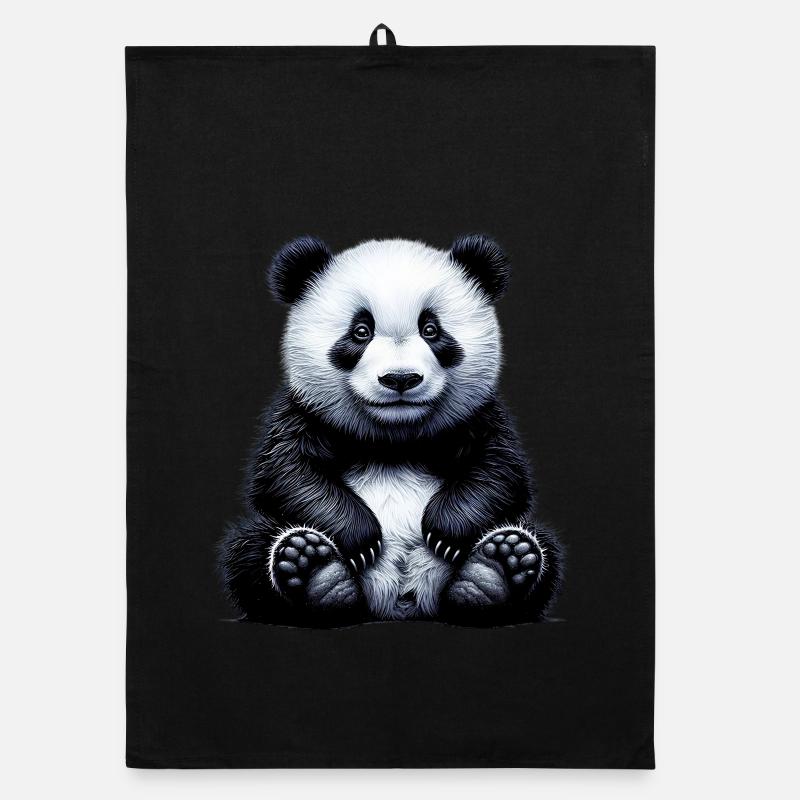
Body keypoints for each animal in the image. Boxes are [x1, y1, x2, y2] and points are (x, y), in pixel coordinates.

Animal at [219, 235, 563, 626]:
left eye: (431, 329)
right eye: (360, 331)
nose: (400, 378)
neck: (394, 439)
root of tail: (398, 601)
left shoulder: (479, 415)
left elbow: (499, 470)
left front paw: (446, 531)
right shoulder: (303, 411)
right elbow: (287, 472)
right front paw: (361, 538)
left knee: (542, 544)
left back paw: (493, 573)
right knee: (247, 549)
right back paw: (318, 576)